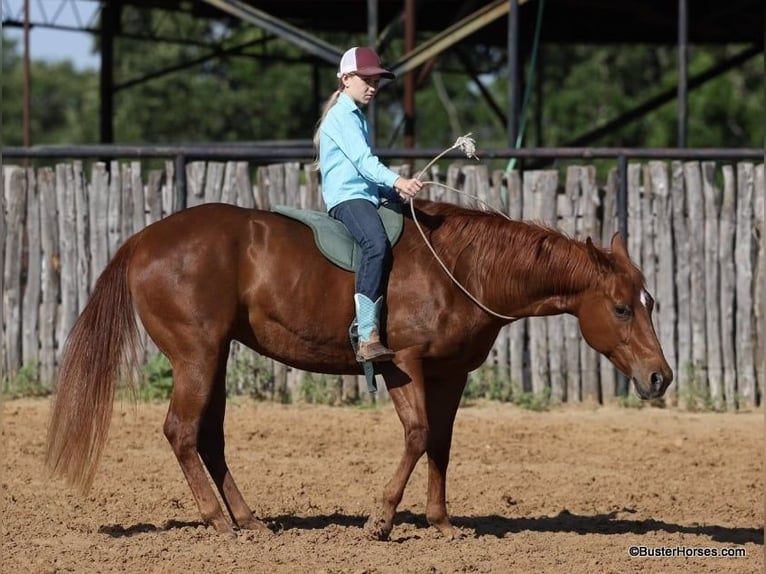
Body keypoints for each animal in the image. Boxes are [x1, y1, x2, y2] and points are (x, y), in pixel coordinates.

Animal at [45, 200, 676, 544]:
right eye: (622, 307)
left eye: (648, 302)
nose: (659, 377)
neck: (463, 268)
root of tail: (143, 240)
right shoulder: (402, 365)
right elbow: (418, 435)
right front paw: (380, 519)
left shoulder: (450, 375)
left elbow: (441, 443)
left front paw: (441, 522)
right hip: (196, 357)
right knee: (181, 432)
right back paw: (218, 524)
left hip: (215, 357)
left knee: (210, 438)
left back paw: (248, 520)